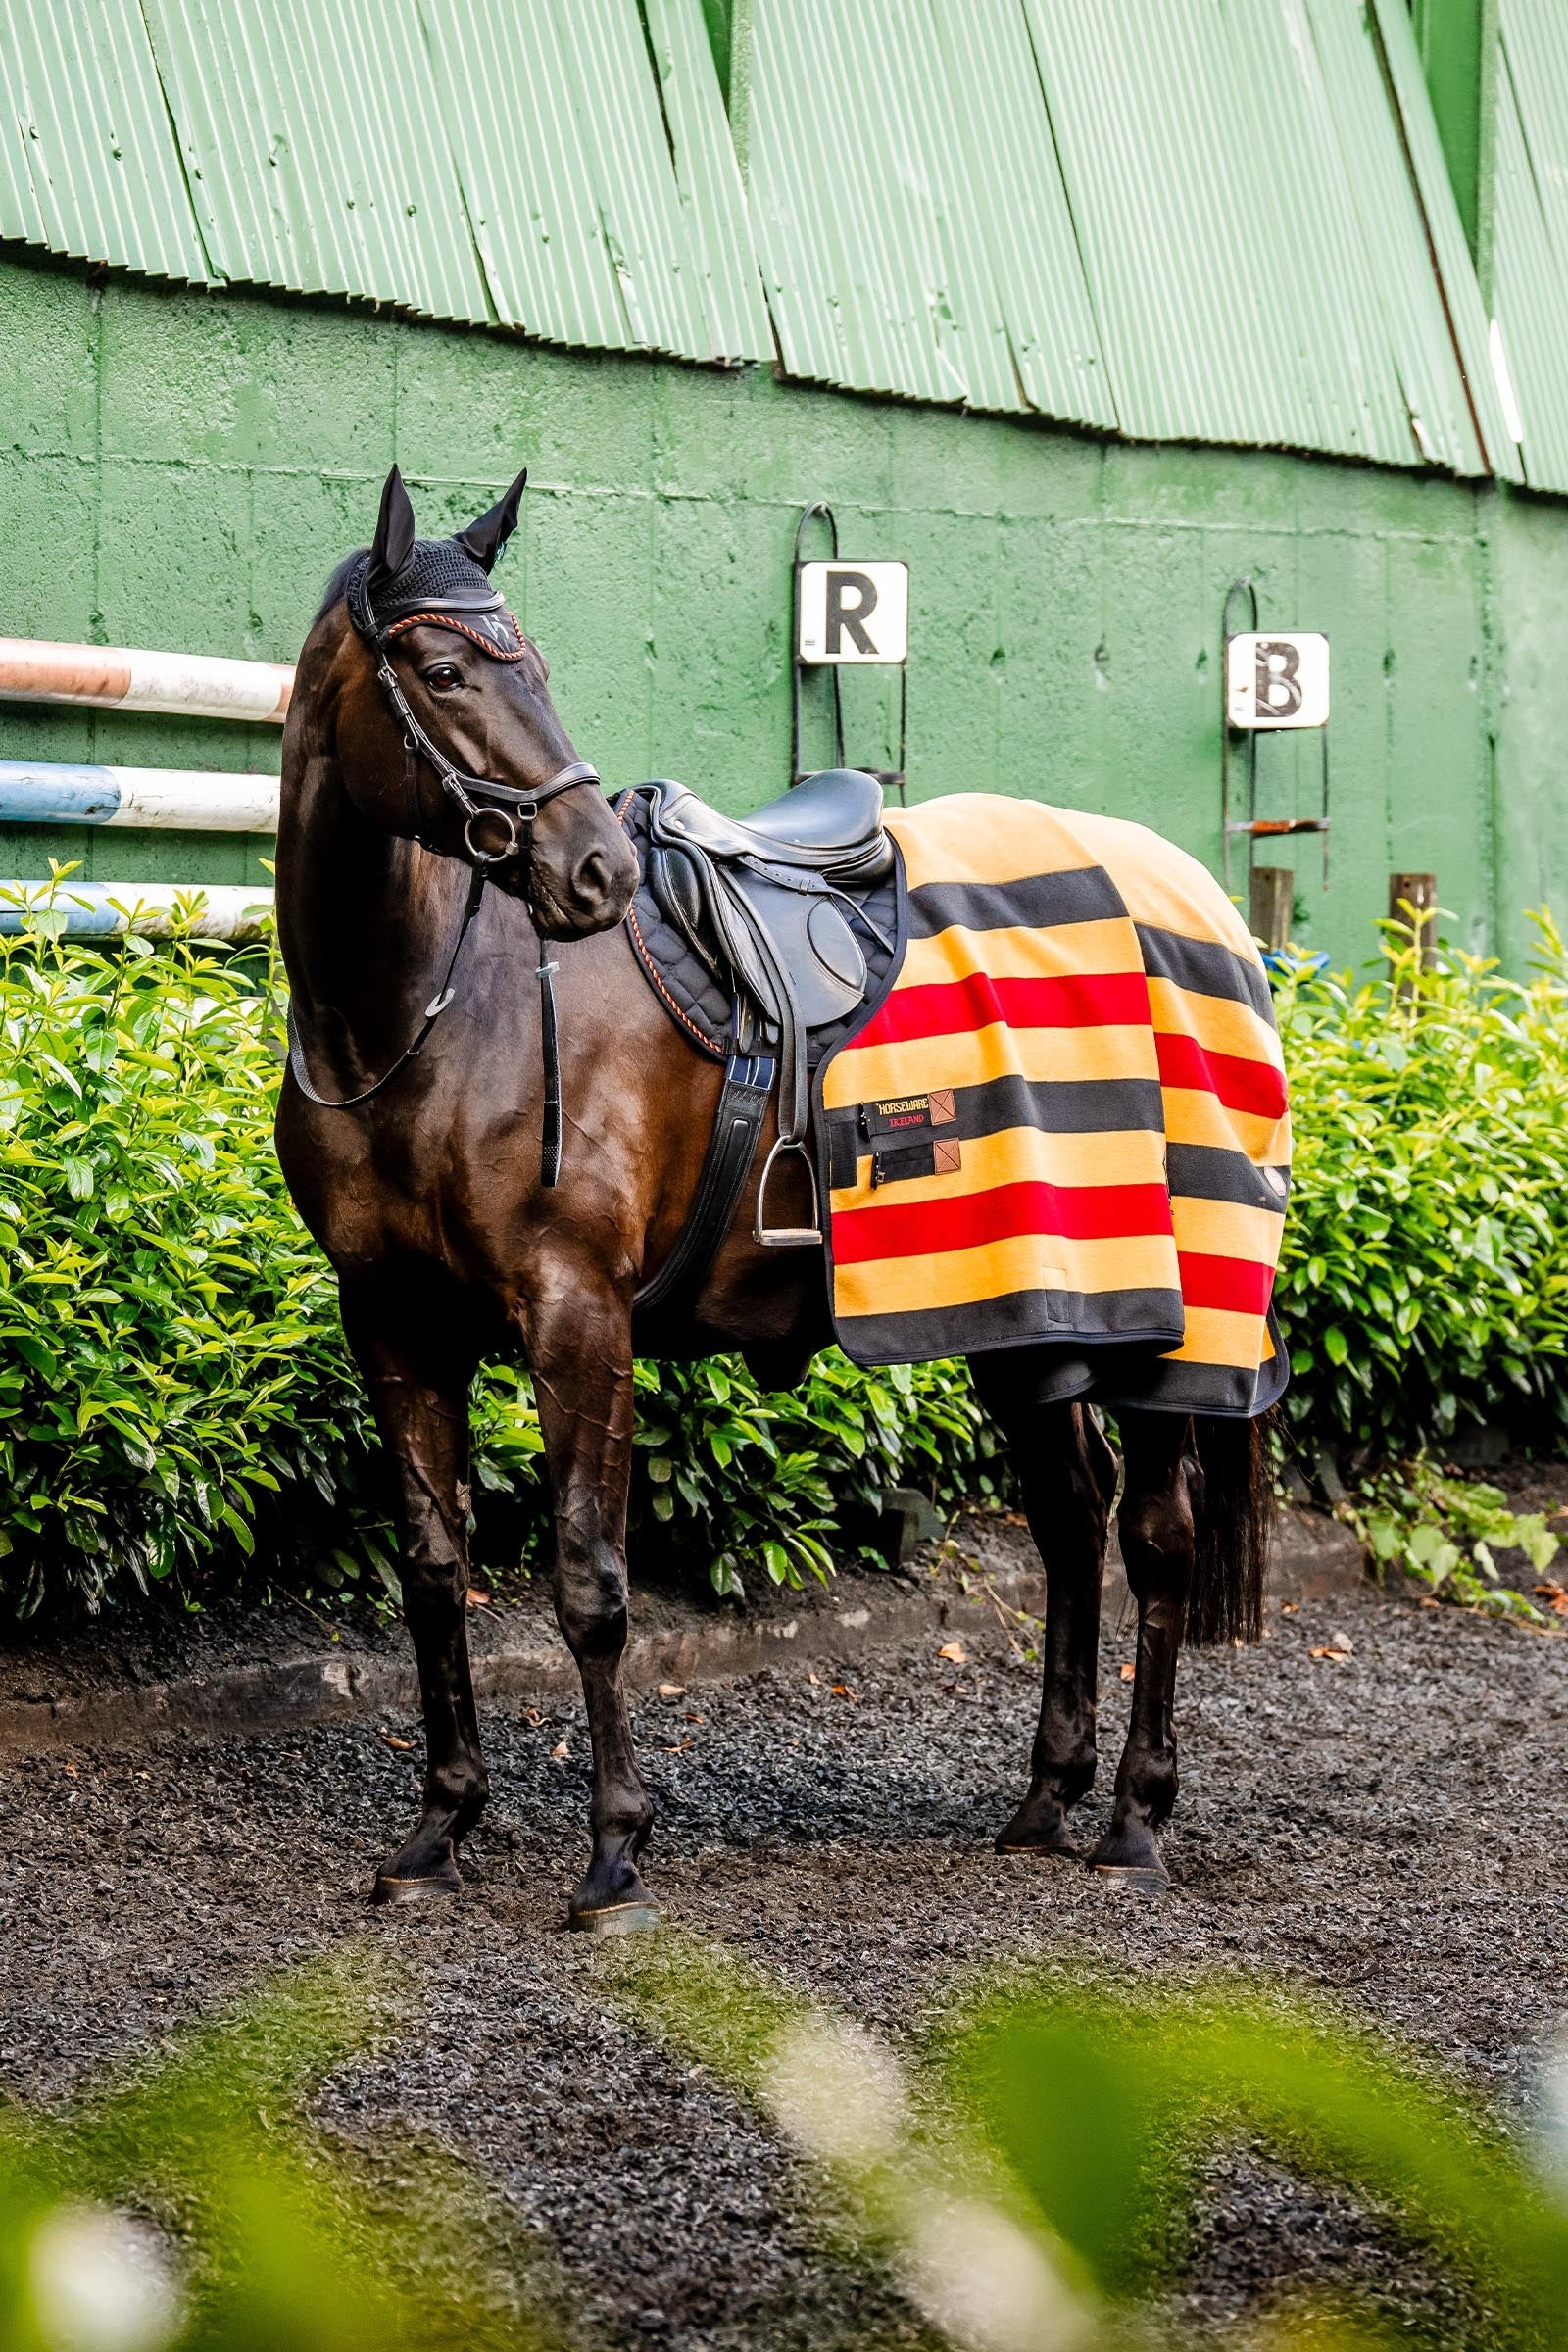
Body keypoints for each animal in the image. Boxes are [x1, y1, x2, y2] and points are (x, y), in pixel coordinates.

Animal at [275, 463, 1275, 1928]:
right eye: (448, 667)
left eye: (535, 663)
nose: (594, 869)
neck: (425, 1014)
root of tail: (1195, 898)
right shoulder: (393, 1323)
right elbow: (434, 1572)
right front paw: (438, 1828)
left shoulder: (579, 1317)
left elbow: (590, 1582)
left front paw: (613, 1850)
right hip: (1028, 1315)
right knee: (1068, 1515)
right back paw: (1047, 1798)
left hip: (1165, 1311)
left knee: (1153, 1533)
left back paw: (1135, 1822)